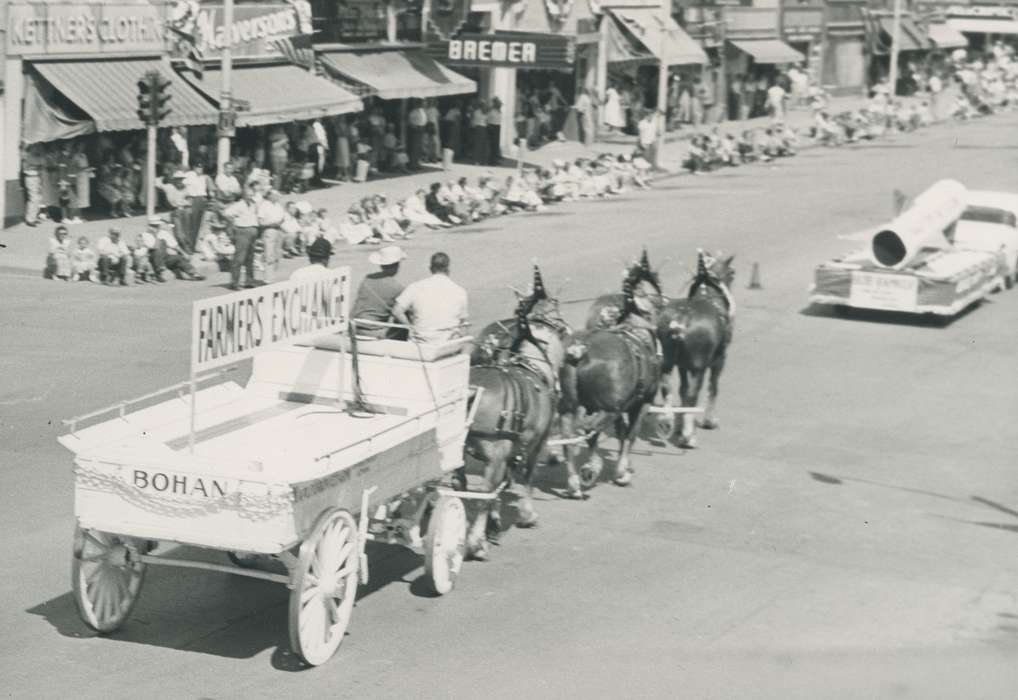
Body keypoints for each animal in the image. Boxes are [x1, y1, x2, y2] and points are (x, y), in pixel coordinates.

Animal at [466, 268, 570, 557]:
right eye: (558, 316)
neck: (530, 364)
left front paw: (496, 522)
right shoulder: (536, 443)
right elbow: (526, 478)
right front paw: (527, 514)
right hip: (496, 454)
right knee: (483, 495)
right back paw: (474, 544)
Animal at [561, 264, 663, 490]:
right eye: (657, 303)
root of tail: (580, 352)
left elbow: (622, 433)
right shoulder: (642, 402)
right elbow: (631, 434)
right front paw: (622, 472)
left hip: (570, 406)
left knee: (571, 436)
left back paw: (575, 480)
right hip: (608, 408)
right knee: (588, 428)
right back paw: (591, 469)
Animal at [655, 251, 737, 447]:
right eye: (732, 272)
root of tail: (681, 322)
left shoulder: (682, 365)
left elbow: (682, 391)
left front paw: (680, 424)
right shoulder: (719, 360)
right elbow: (713, 388)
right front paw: (709, 421)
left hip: (668, 363)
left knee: (667, 387)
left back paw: (667, 422)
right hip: (698, 367)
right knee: (694, 394)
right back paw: (688, 437)